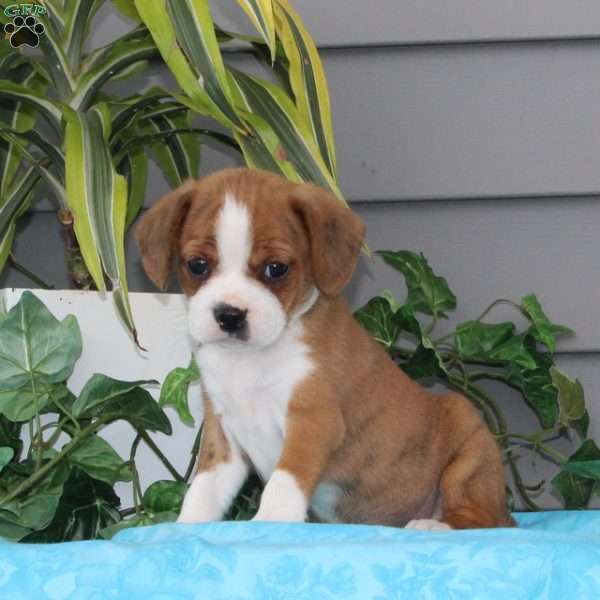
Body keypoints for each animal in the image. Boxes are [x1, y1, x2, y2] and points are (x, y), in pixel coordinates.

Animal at [137, 166, 516, 528]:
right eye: (197, 265)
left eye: (276, 269)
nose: (229, 315)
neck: (249, 360)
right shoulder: (222, 434)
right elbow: (204, 488)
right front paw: (183, 527)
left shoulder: (313, 420)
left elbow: (285, 480)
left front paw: (271, 519)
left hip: (469, 446)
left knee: (483, 519)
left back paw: (433, 525)